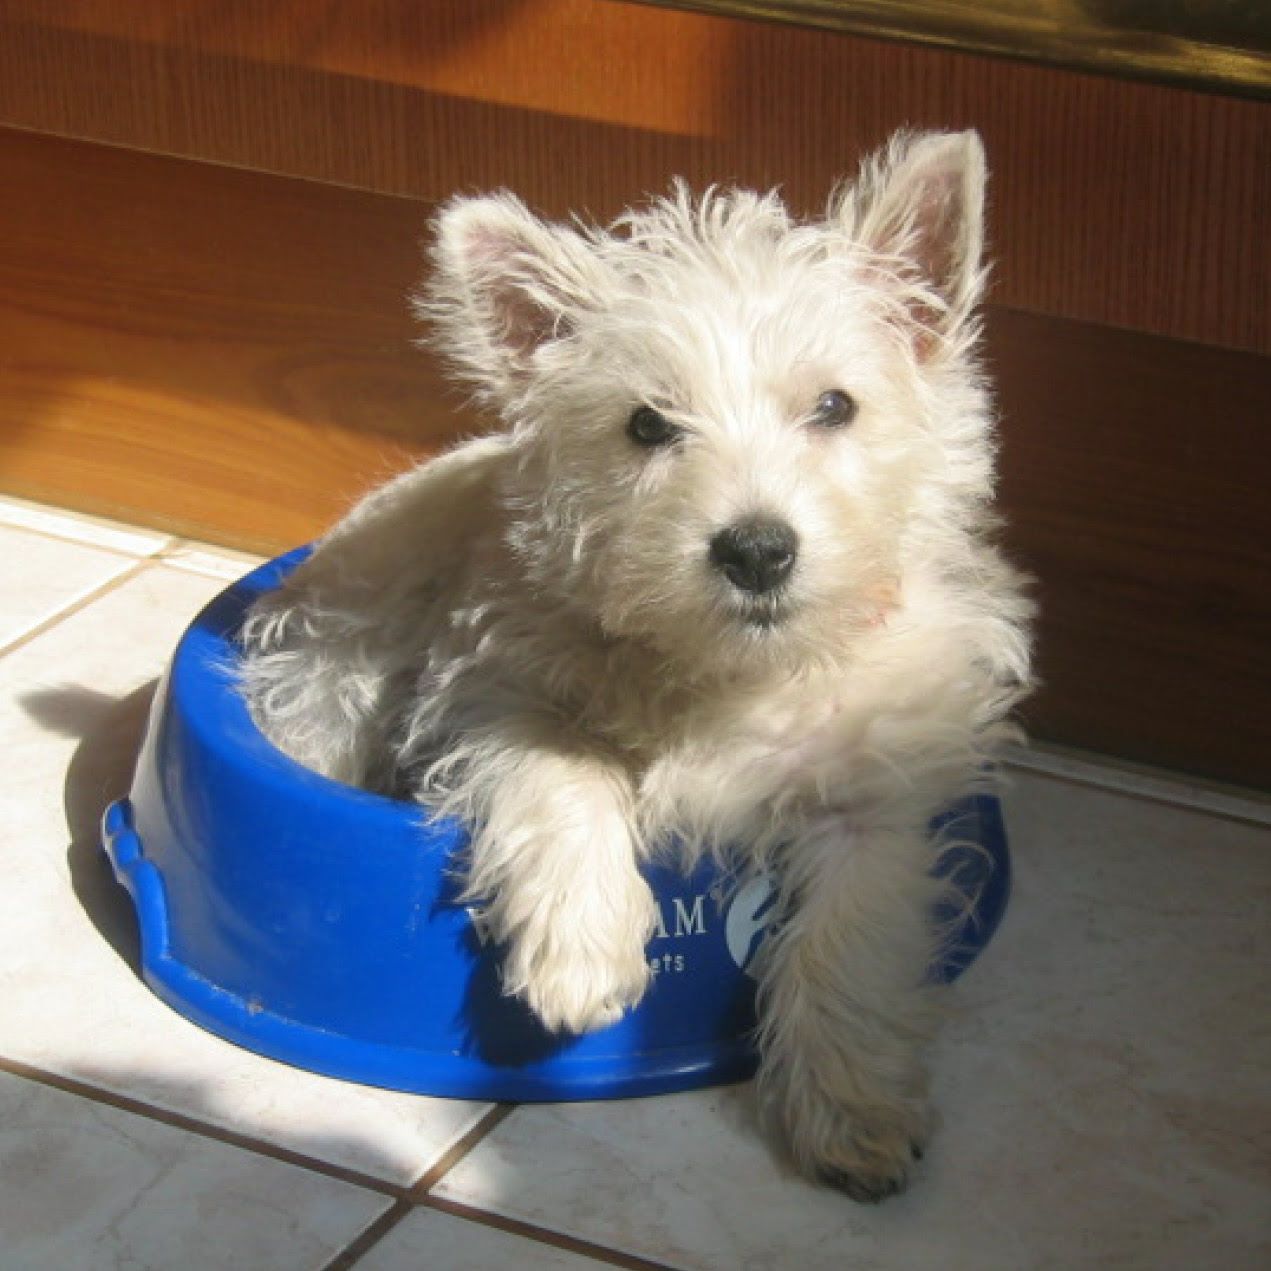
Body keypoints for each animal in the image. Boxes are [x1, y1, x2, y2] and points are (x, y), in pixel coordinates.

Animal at [238, 134, 1032, 1204]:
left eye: (835, 406)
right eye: (648, 425)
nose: (756, 551)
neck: (733, 667)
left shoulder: (874, 797)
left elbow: (850, 938)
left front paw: (853, 1113)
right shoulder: (497, 686)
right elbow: (564, 767)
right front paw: (580, 952)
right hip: (330, 677)